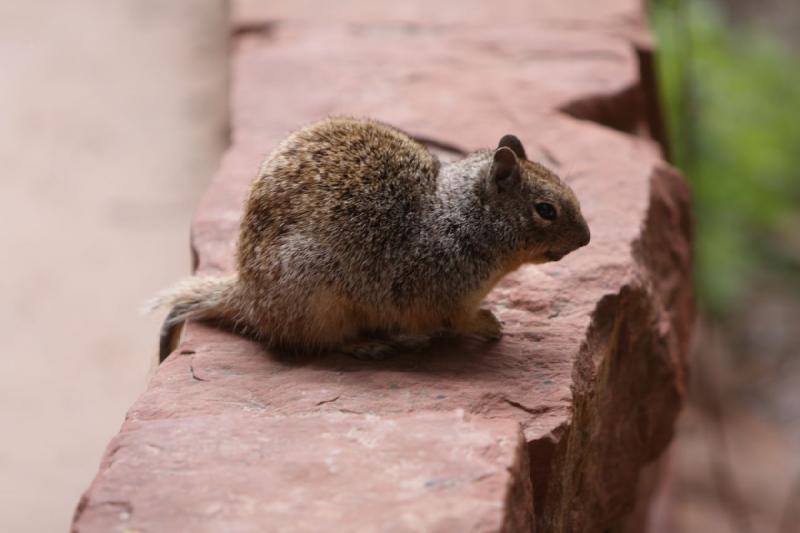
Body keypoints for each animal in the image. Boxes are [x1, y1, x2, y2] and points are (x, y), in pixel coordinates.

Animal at [152, 116, 588, 358]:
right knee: (309, 341)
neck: (461, 217)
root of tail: (247, 295)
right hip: (318, 299)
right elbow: (458, 320)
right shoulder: (445, 295)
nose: (586, 238)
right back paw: (366, 344)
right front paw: (488, 324)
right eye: (546, 210)